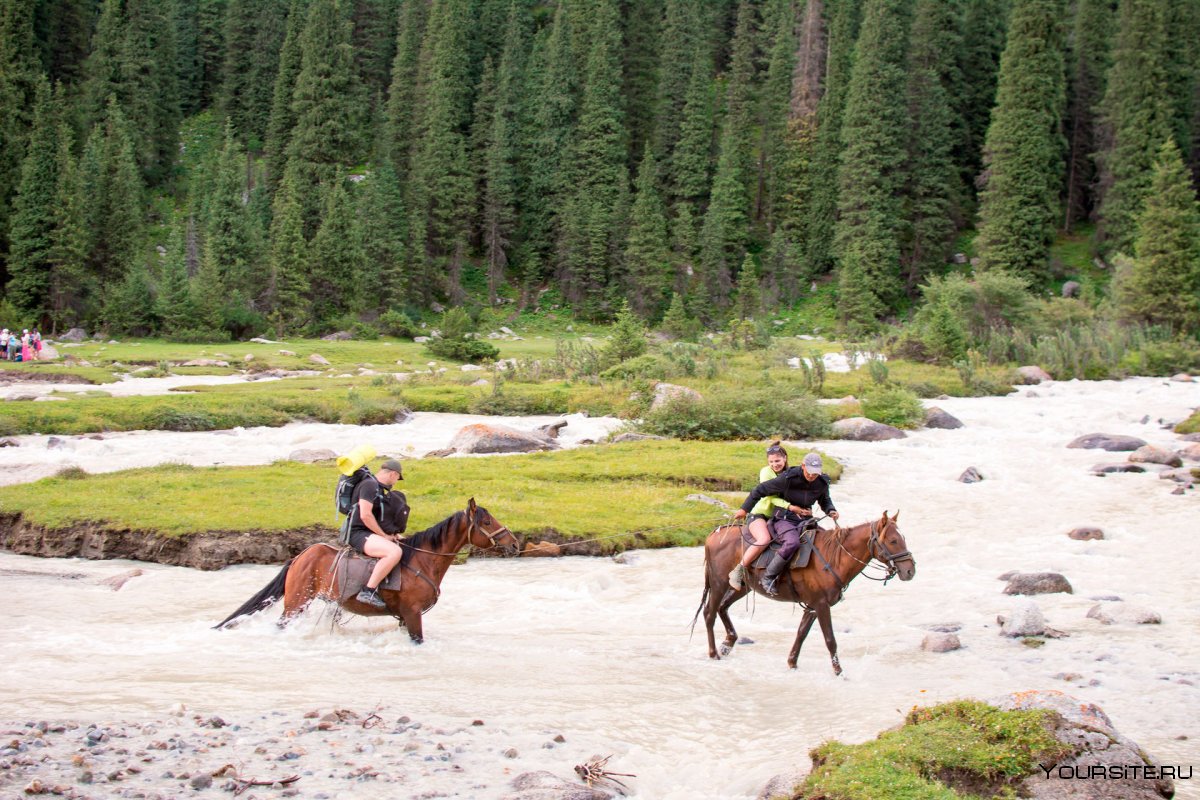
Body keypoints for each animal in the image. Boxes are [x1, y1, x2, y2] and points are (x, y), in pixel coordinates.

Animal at [216, 501, 516, 642]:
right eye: (487, 522)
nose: (513, 543)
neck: (423, 561)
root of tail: (300, 556)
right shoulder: (412, 613)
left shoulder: (404, 617)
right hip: (296, 602)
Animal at [696, 513, 916, 676]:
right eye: (893, 540)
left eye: (903, 539)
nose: (910, 571)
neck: (833, 557)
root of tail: (713, 535)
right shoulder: (821, 604)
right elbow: (830, 639)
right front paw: (839, 672)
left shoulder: (811, 607)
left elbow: (801, 634)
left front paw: (792, 663)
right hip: (718, 584)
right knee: (709, 613)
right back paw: (714, 654)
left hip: (742, 587)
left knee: (723, 608)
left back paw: (727, 644)